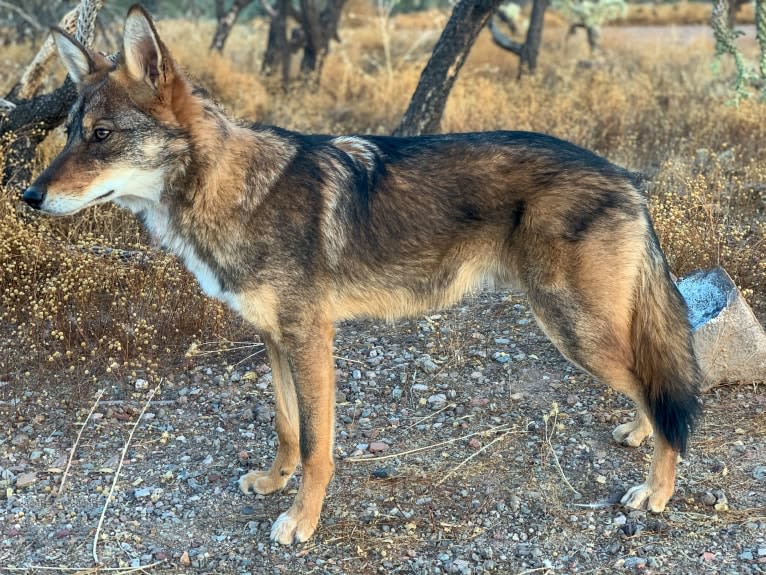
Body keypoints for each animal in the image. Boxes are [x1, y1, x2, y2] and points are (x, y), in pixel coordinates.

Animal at [22, 4, 704, 544]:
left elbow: (318, 446)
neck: (235, 193)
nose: (28, 195)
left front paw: (301, 521)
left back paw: (657, 492)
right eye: (68, 134)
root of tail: (627, 179)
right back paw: (638, 434)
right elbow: (286, 427)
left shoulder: (312, 340)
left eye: (101, 136)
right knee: (651, 387)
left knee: (658, 389)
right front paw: (274, 481)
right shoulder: (274, 339)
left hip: (571, 330)